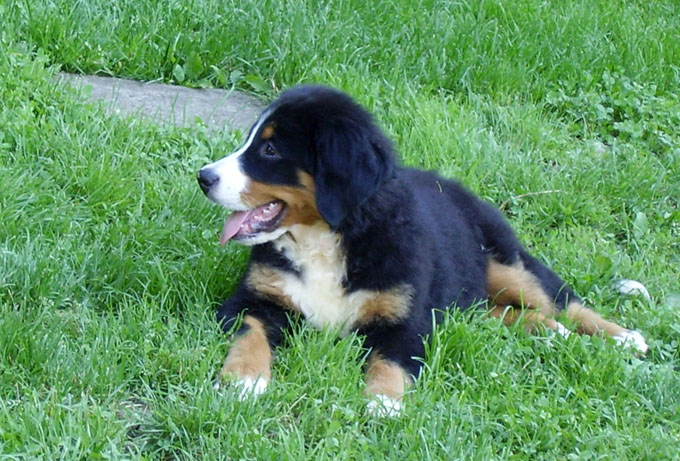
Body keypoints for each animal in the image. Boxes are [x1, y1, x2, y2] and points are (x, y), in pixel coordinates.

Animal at [197, 85, 648, 415]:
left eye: (270, 150)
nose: (204, 177)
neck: (326, 240)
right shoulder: (254, 299)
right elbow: (252, 334)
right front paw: (244, 380)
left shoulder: (405, 319)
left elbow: (391, 360)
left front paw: (383, 402)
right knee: (492, 311)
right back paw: (547, 331)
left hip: (507, 261)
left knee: (562, 300)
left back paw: (622, 337)